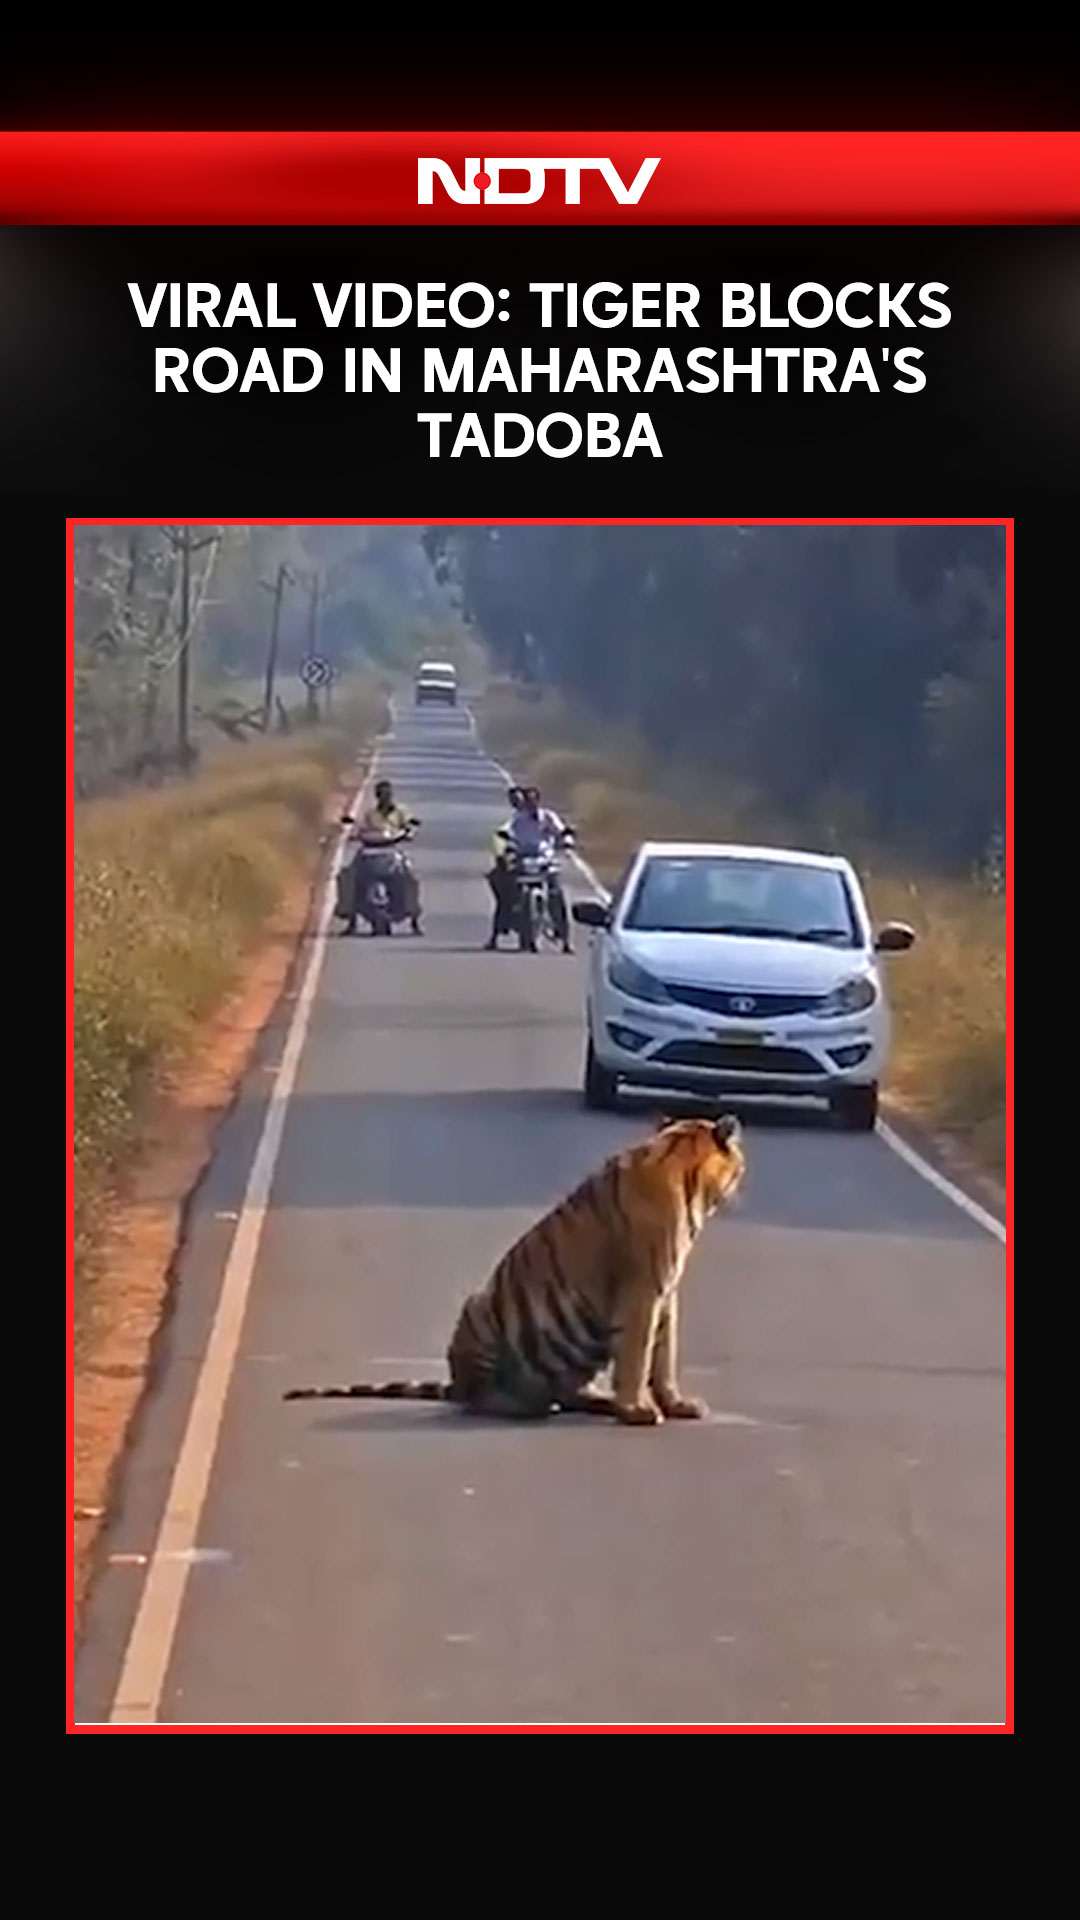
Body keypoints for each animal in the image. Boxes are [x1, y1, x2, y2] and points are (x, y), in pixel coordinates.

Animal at [283, 1112, 745, 1426]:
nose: (743, 1173)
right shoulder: (642, 1292)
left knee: (566, 1389)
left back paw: (591, 1399)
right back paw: (521, 1404)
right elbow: (638, 1354)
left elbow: (663, 1356)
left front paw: (676, 1403)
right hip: (480, 1312)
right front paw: (638, 1410)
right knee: (476, 1397)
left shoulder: (665, 1294)